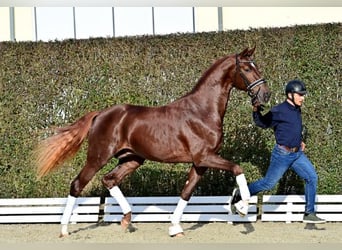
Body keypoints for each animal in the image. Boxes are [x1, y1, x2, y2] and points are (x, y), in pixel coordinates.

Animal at [34, 47, 270, 236]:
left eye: (256, 66)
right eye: (247, 69)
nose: (265, 95)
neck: (201, 111)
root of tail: (100, 114)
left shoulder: (200, 163)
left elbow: (186, 192)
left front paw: (175, 228)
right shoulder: (205, 157)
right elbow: (237, 168)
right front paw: (241, 207)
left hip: (132, 159)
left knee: (109, 180)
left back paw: (127, 218)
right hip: (97, 157)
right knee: (78, 184)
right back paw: (65, 229)